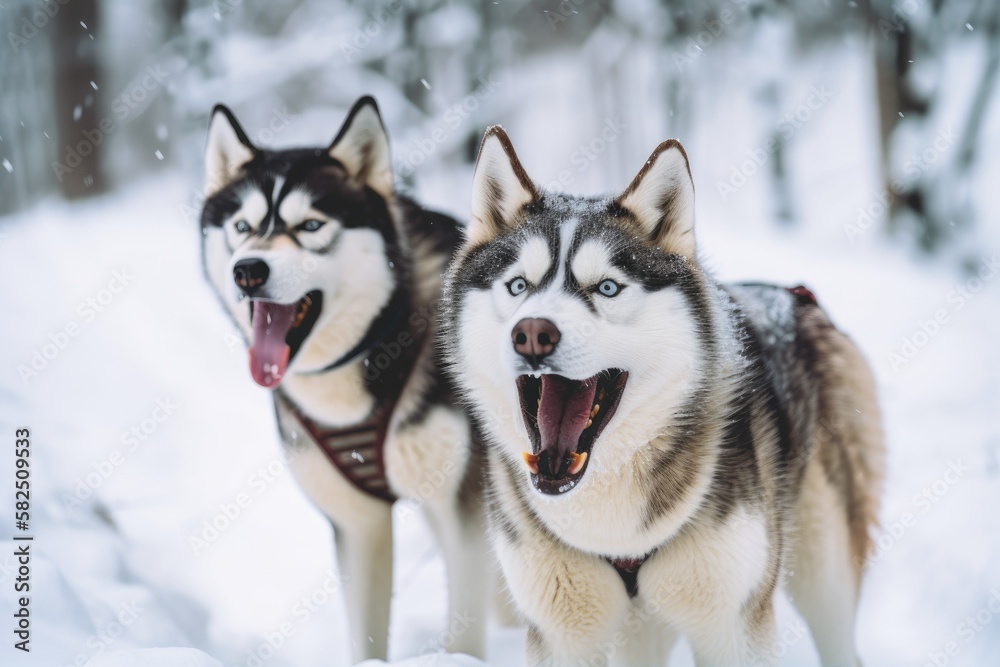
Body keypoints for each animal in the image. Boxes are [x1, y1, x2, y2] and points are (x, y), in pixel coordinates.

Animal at [199, 95, 488, 664]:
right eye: (242, 227)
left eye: (311, 226)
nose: (248, 270)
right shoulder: (357, 525)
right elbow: (366, 640)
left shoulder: (462, 501)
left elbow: (467, 632)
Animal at [444, 128, 884, 664]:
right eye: (518, 286)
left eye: (607, 287)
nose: (531, 334)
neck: (610, 519)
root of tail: (795, 297)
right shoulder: (560, 633)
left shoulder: (733, 625)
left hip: (824, 569)